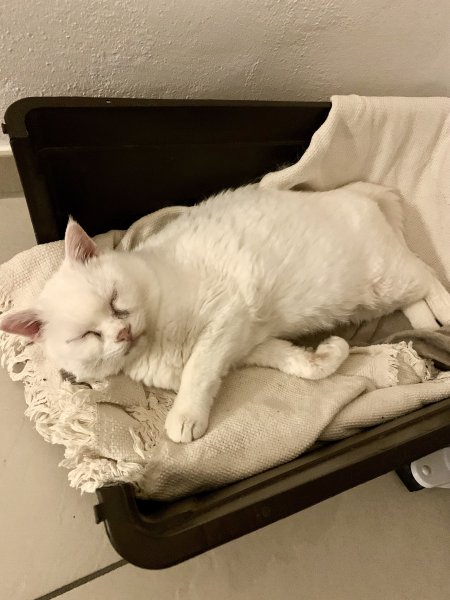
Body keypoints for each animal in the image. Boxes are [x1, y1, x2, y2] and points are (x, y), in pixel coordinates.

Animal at [2, 182, 450, 443]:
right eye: (87, 335)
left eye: (114, 299)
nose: (122, 333)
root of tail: (355, 193)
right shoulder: (246, 346)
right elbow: (298, 364)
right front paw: (324, 355)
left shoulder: (225, 320)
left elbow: (198, 372)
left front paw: (185, 416)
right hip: (379, 294)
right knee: (415, 296)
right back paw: (426, 325)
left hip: (383, 278)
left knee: (427, 274)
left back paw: (443, 313)